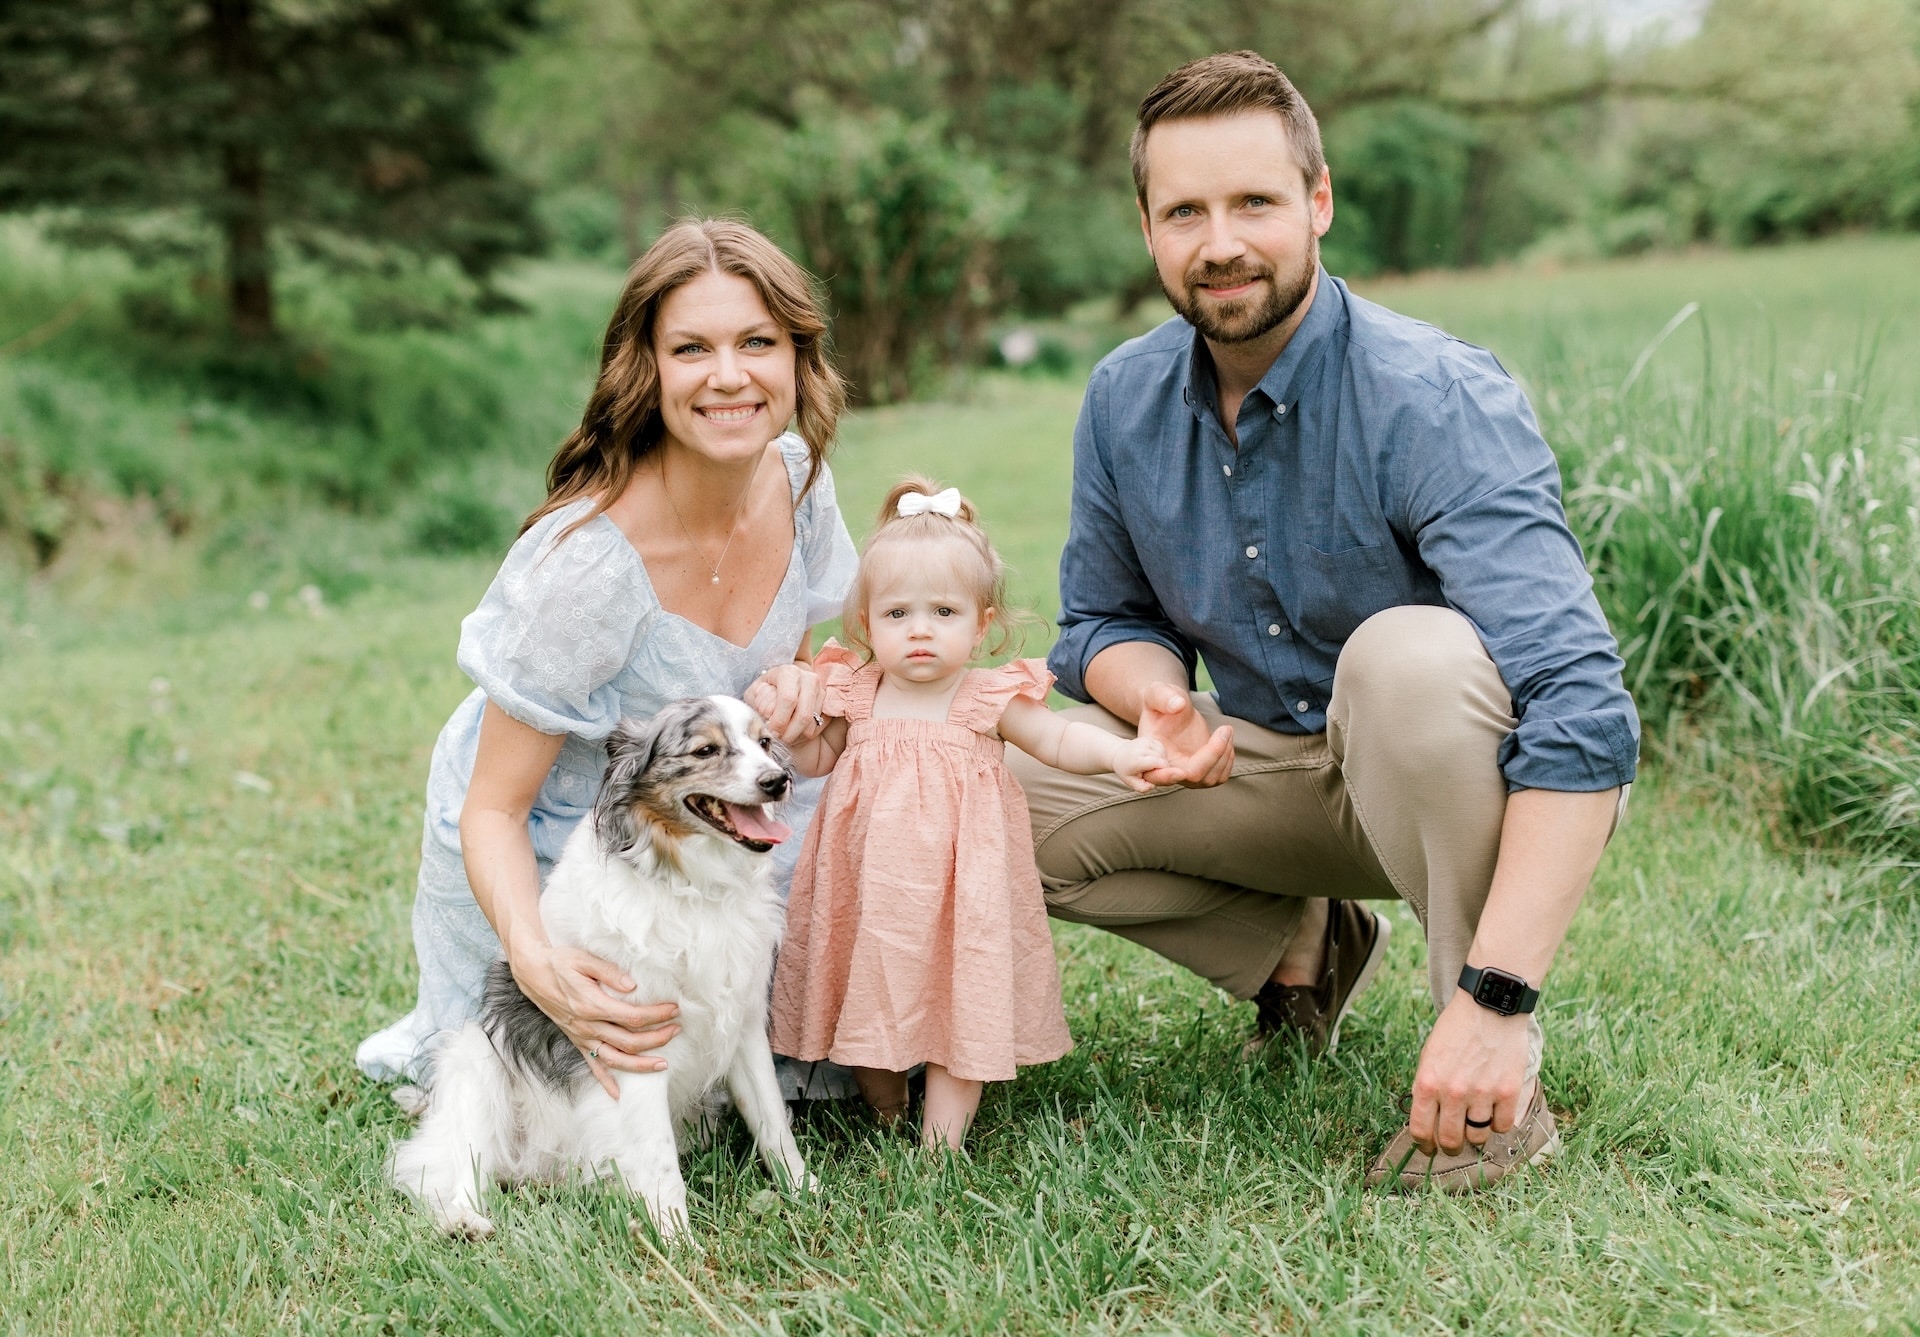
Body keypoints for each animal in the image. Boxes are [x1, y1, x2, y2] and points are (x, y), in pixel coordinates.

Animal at [389, 695, 810, 1237]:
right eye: (705, 750)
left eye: (764, 743)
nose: (777, 781)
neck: (690, 886)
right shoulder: (636, 1045)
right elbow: (659, 1160)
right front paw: (677, 1239)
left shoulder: (744, 1025)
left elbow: (774, 1124)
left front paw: (806, 1194)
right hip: (477, 1061)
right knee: (442, 1163)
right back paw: (464, 1219)